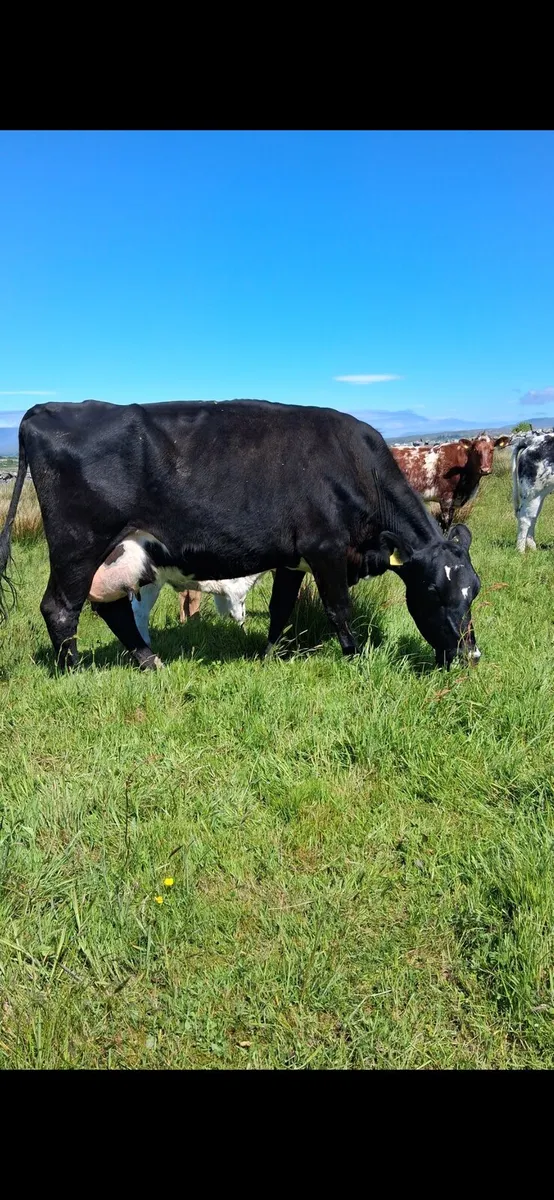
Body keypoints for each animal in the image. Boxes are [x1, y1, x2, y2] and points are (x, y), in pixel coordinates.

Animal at [0, 398, 482, 671]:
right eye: (434, 592)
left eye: (473, 590)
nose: (471, 656)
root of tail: (45, 409)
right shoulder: (325, 548)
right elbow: (338, 608)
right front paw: (356, 658)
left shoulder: (294, 557)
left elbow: (282, 607)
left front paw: (270, 656)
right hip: (77, 545)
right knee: (61, 608)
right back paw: (73, 671)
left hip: (118, 553)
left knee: (110, 607)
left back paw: (150, 661)